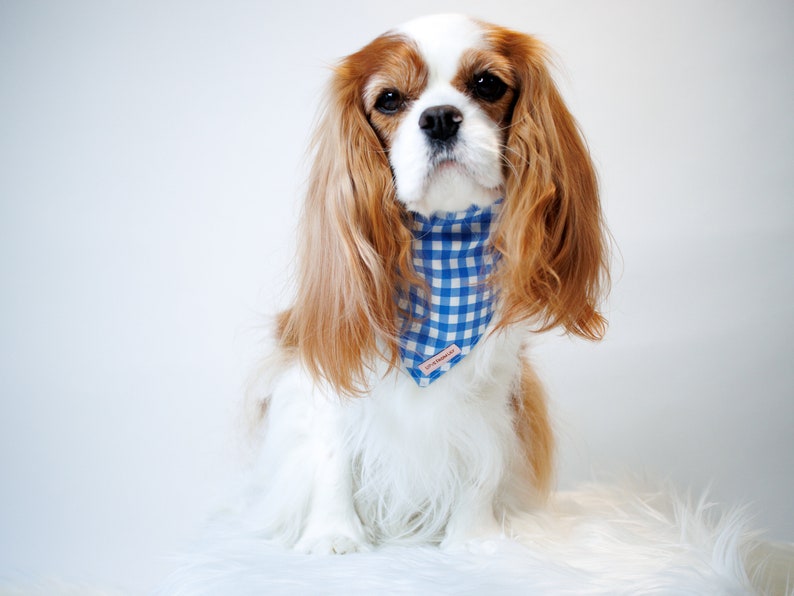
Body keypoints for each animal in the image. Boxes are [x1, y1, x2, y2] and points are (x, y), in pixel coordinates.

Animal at [254, 12, 608, 556]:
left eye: (487, 84)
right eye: (389, 100)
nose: (440, 117)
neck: (446, 253)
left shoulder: (491, 390)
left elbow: (482, 460)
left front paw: (473, 540)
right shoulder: (332, 371)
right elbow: (333, 457)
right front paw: (334, 534)